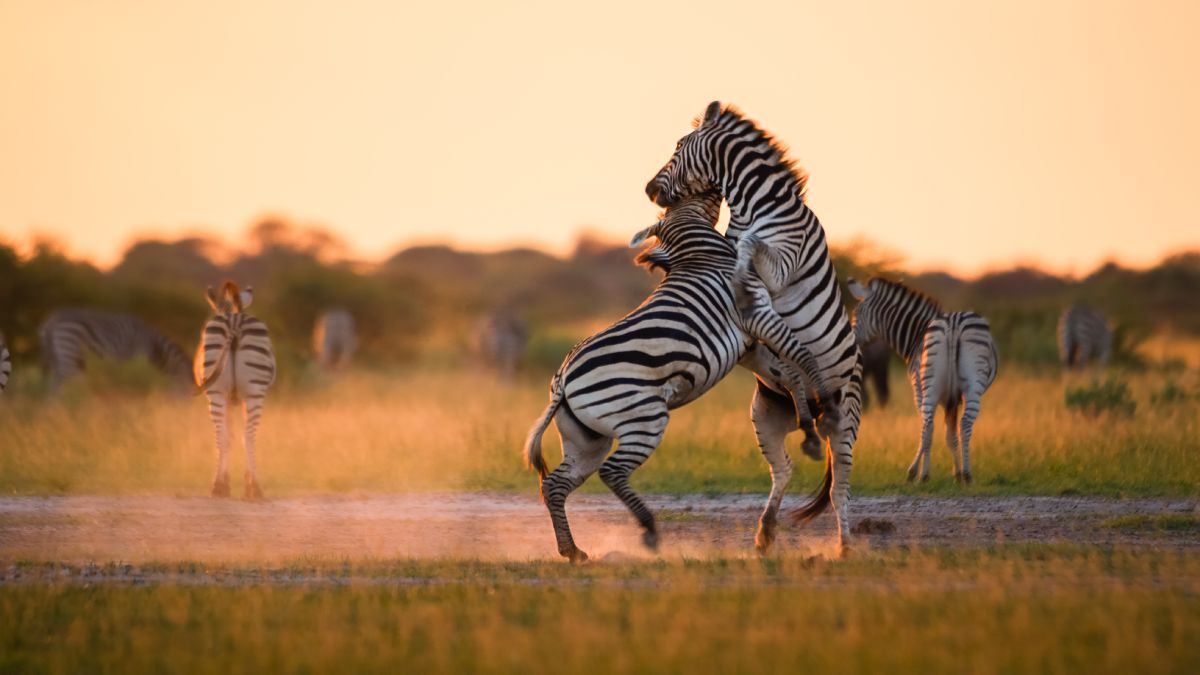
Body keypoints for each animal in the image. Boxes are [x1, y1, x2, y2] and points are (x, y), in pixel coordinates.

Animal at [38, 306, 194, 389]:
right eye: (186, 391)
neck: (154, 345)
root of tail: (52, 320)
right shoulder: (135, 356)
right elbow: (128, 382)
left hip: (55, 356)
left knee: (53, 384)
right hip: (68, 350)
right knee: (61, 382)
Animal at [194, 281, 274, 497]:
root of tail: (234, 323)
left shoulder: (231, 400)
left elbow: (230, 436)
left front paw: (228, 482)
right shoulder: (233, 399)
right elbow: (231, 436)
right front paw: (232, 482)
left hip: (222, 392)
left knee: (234, 435)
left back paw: (234, 487)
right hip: (249, 392)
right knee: (243, 435)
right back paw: (246, 486)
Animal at [525, 190, 844, 562]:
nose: (717, 191)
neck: (699, 255)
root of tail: (562, 380)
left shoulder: (749, 345)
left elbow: (788, 374)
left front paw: (809, 431)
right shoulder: (757, 314)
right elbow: (802, 356)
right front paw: (826, 407)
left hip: (587, 439)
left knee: (555, 484)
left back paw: (572, 550)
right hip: (644, 419)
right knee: (612, 471)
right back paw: (648, 530)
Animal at [648, 100, 864, 552]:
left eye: (677, 146)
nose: (648, 190)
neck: (757, 207)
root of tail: (811, 411)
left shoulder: (782, 263)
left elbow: (750, 246)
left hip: (846, 418)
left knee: (840, 487)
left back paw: (844, 546)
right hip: (765, 415)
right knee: (784, 469)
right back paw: (765, 532)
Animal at [849, 277, 998, 482]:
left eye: (855, 314)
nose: (849, 343)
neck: (917, 335)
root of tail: (954, 323)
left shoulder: (918, 389)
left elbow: (926, 428)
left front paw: (920, 470)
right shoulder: (951, 398)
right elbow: (951, 435)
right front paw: (957, 472)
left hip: (928, 384)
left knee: (928, 424)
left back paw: (919, 473)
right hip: (973, 385)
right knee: (966, 423)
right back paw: (967, 474)